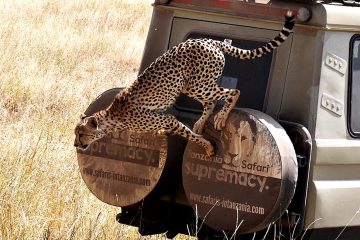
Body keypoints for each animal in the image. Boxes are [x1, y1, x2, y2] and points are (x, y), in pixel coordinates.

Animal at [74, 11, 296, 158]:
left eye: (81, 133)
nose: (76, 144)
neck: (112, 117)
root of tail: (209, 40)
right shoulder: (165, 119)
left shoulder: (168, 119)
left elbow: (188, 135)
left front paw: (207, 146)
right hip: (190, 85)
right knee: (211, 101)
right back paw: (200, 122)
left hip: (199, 83)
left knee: (233, 91)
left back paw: (220, 118)